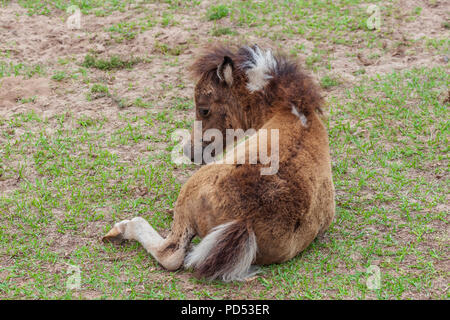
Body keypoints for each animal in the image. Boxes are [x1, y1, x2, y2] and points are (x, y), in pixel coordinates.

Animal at [102, 43, 334, 282]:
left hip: (190, 190)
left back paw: (121, 230)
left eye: (204, 109)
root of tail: (246, 219)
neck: (293, 113)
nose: (189, 152)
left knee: (171, 253)